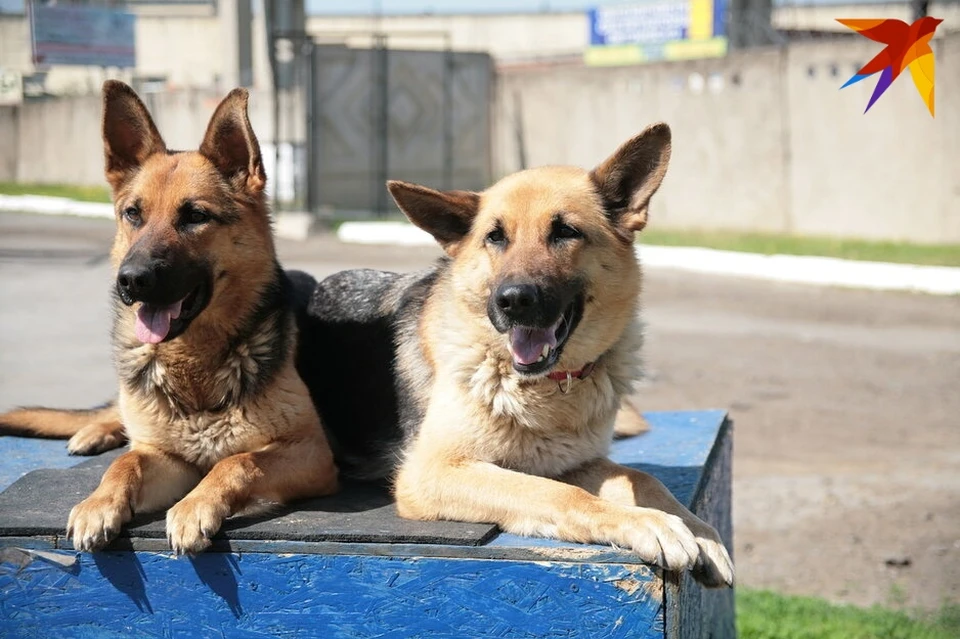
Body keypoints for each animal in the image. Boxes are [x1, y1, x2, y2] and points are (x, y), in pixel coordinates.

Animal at [0, 81, 338, 556]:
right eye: (133, 214)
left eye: (195, 216)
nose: (131, 280)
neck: (192, 363)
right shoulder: (165, 457)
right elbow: (126, 464)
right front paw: (98, 503)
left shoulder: (312, 454)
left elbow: (237, 461)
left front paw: (195, 506)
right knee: (116, 417)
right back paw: (94, 431)